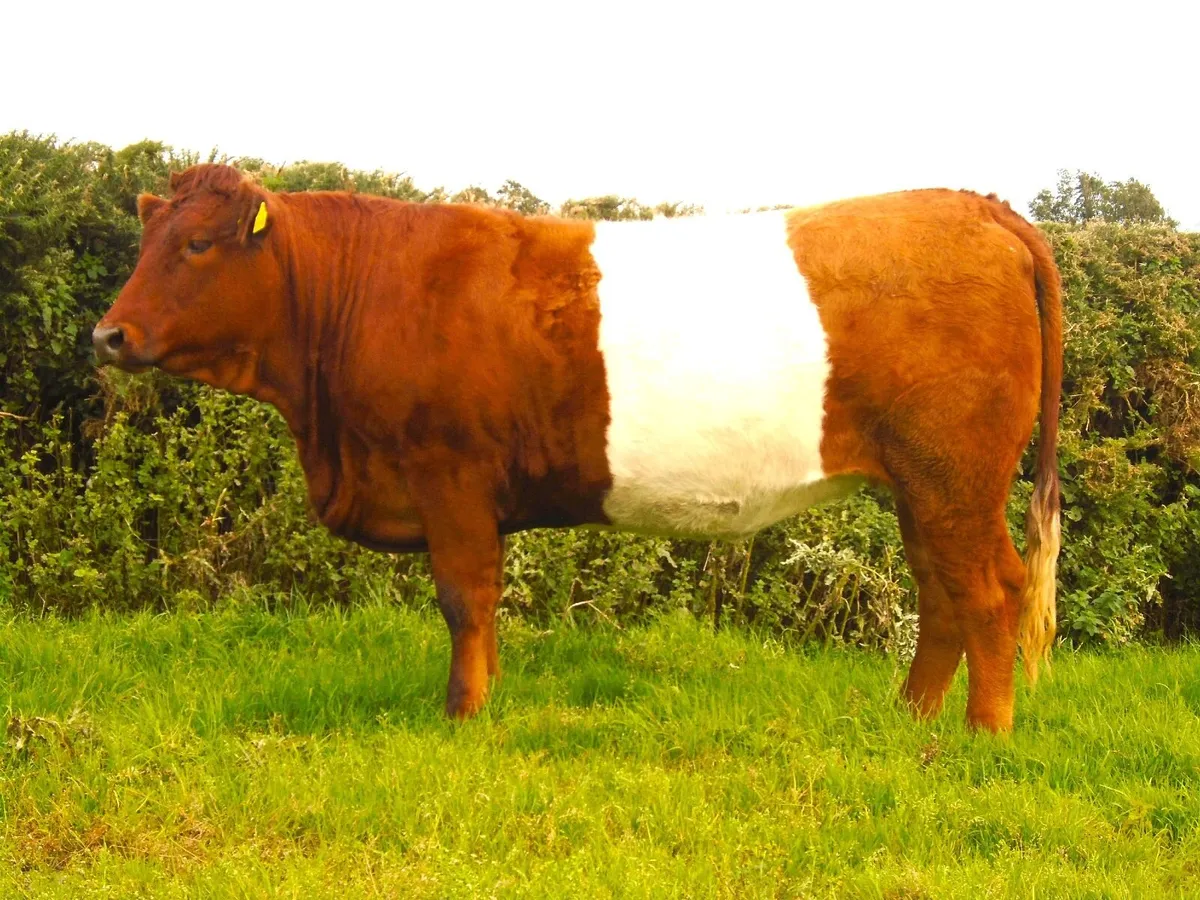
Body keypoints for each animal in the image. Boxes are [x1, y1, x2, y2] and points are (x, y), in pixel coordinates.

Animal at [93, 164, 1062, 733]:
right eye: (149, 238)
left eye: (197, 244)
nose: (108, 335)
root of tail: (977, 207)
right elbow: (480, 605)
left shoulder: (449, 474)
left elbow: (464, 599)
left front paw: (464, 716)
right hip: (925, 484)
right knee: (941, 592)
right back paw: (911, 720)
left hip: (956, 475)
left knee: (988, 591)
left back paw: (980, 736)